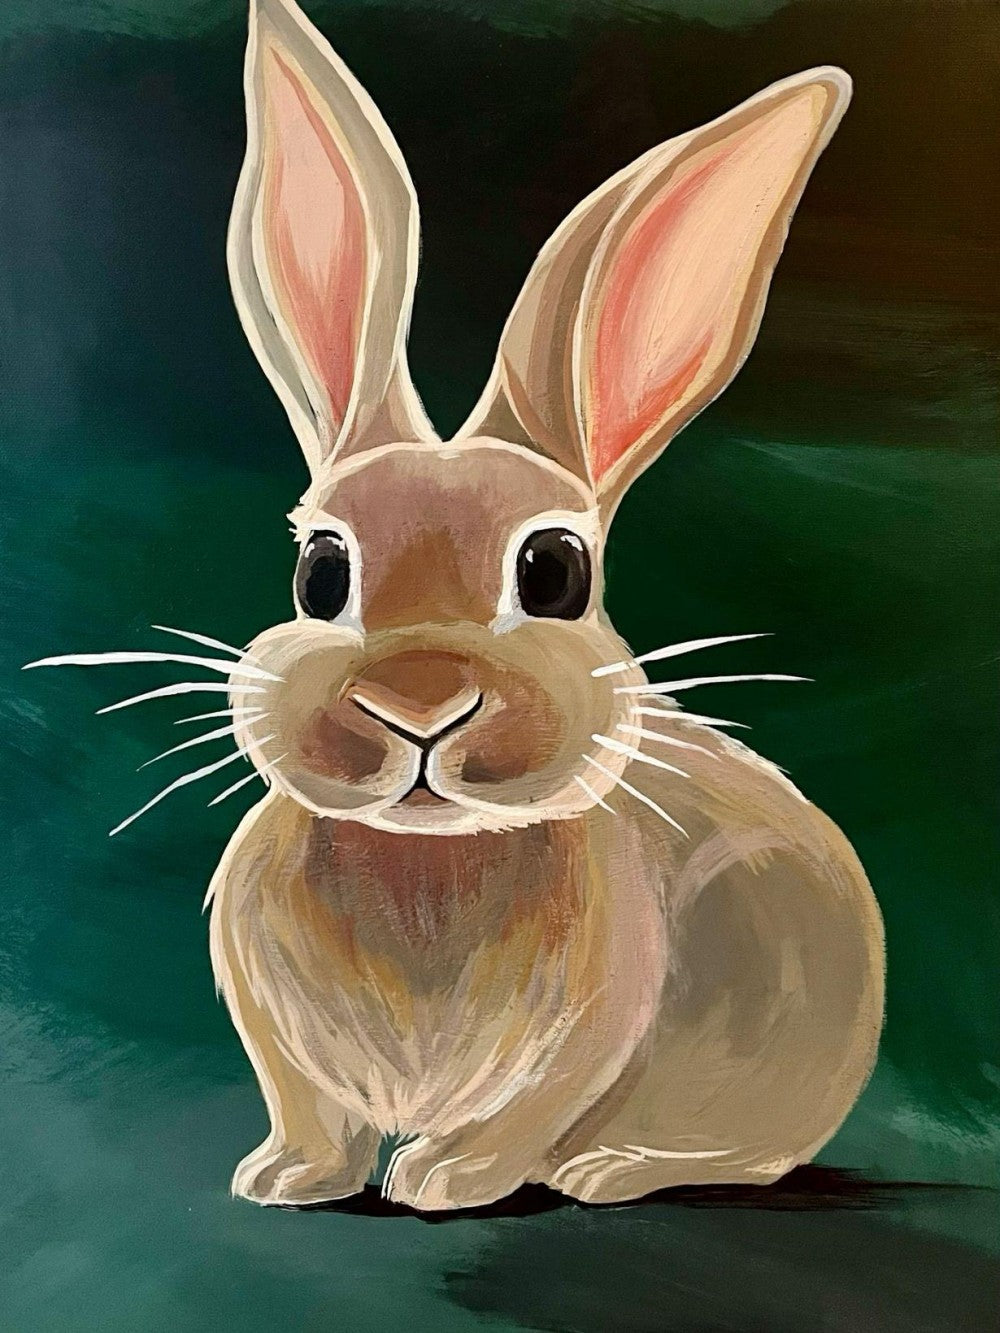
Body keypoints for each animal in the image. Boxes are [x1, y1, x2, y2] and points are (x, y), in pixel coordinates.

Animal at [201, 0, 885, 1210]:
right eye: (319, 572)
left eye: (556, 571)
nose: (418, 701)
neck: (426, 858)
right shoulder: (278, 1040)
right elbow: (310, 1116)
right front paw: (283, 1179)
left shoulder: (594, 1028)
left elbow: (528, 1113)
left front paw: (439, 1181)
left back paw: (608, 1167)